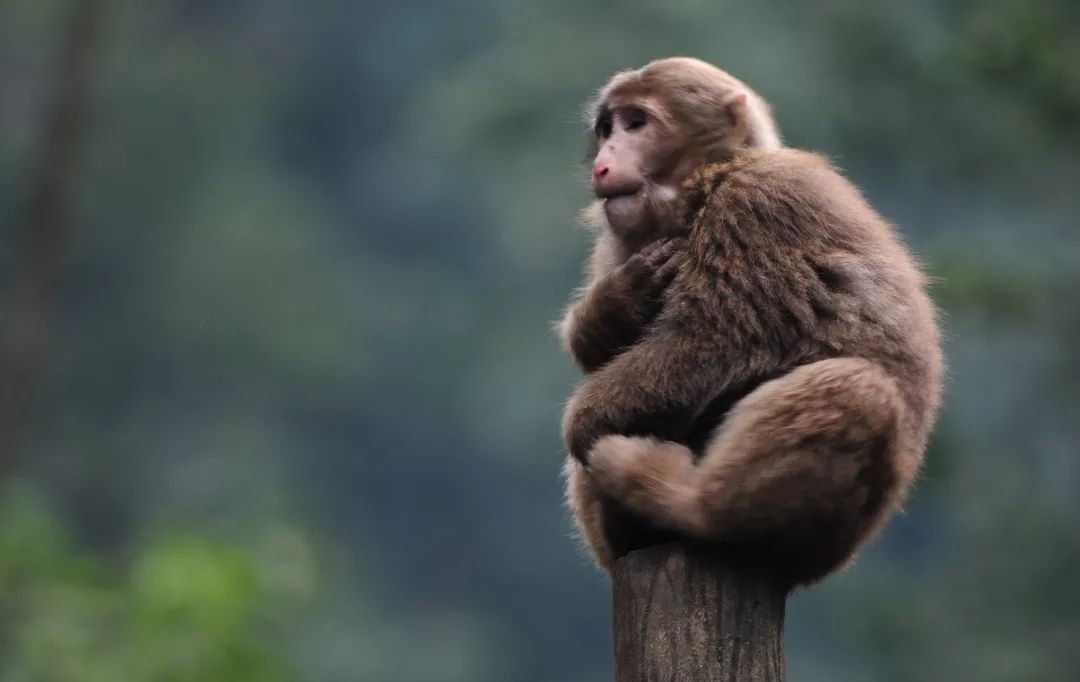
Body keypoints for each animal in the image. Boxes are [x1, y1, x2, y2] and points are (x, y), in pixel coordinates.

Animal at [561, 57, 941, 587]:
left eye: (636, 123)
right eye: (606, 128)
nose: (604, 159)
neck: (706, 184)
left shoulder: (754, 204)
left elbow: (709, 343)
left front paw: (581, 422)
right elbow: (591, 350)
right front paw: (620, 302)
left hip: (830, 526)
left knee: (858, 388)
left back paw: (684, 500)